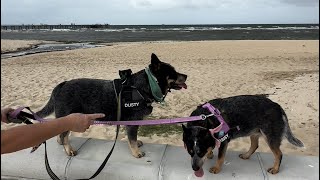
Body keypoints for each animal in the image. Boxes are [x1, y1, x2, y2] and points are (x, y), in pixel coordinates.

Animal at [36, 53, 188, 158]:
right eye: (173, 72)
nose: (186, 75)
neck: (145, 86)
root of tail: (62, 85)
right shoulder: (132, 123)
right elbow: (132, 139)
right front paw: (136, 152)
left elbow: (133, 138)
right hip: (70, 117)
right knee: (64, 135)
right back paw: (69, 149)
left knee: (61, 133)